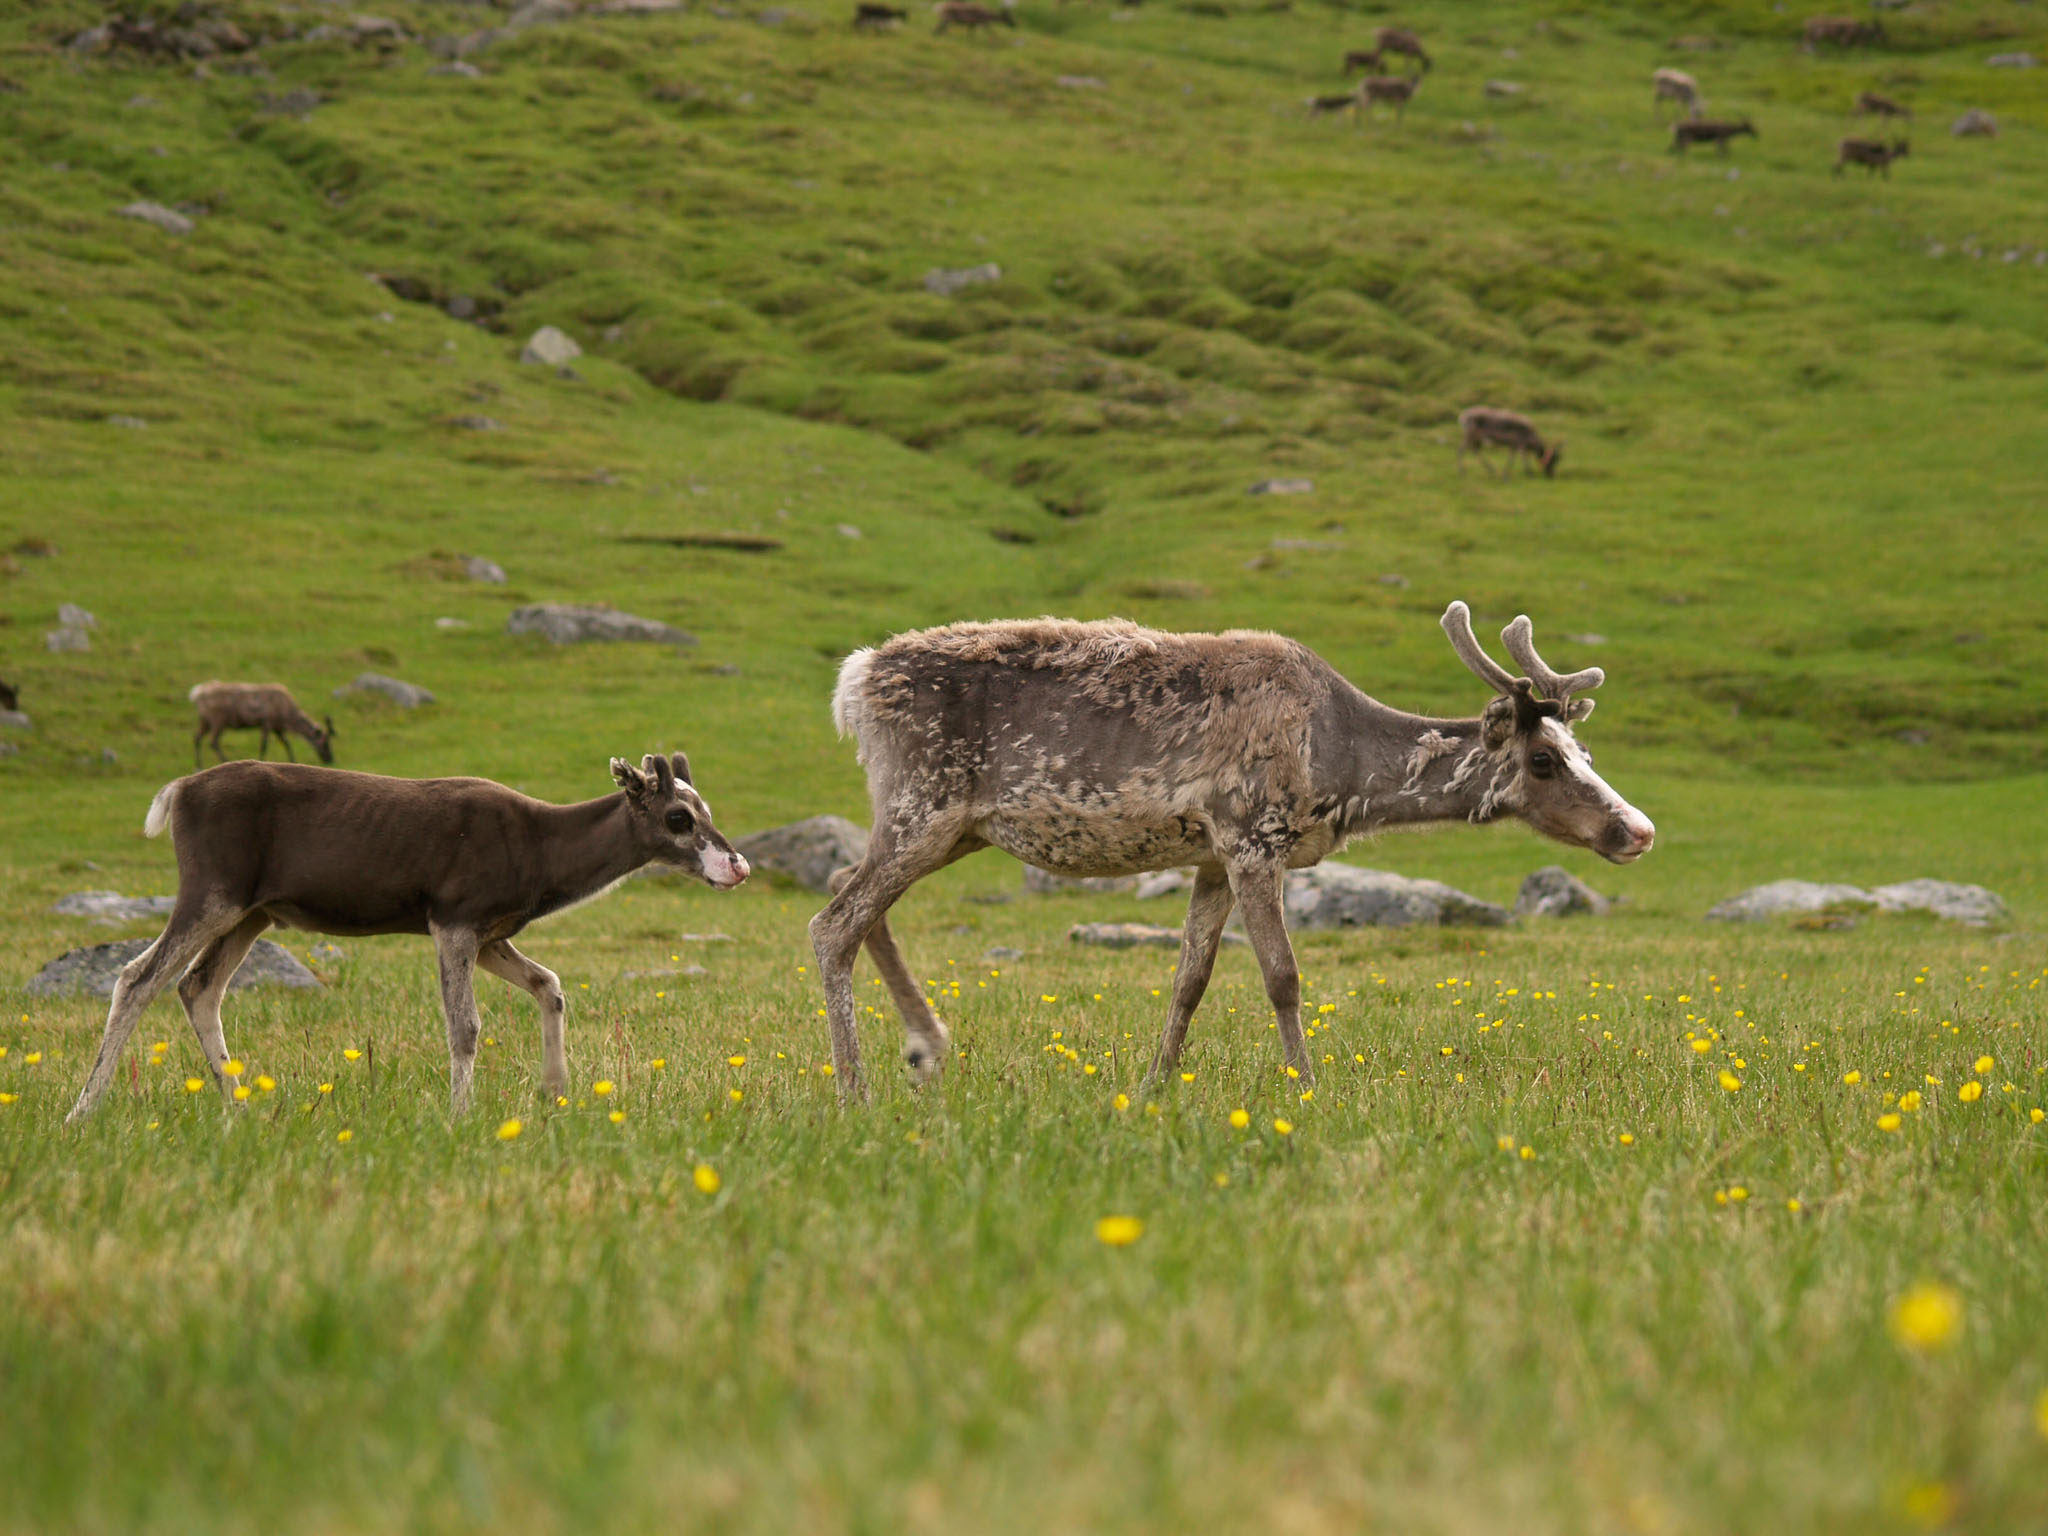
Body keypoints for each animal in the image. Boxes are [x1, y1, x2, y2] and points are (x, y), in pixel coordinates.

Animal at [61, 753, 753, 1122]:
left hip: (254, 911)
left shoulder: (491, 932)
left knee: (198, 986)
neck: (540, 856)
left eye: (707, 809)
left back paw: (240, 1106)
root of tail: (176, 792)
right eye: (678, 817)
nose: (738, 865)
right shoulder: (453, 917)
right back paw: (82, 1110)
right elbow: (465, 1026)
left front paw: (555, 1092)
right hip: (212, 889)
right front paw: (459, 1116)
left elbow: (551, 986)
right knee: (137, 977)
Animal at [193, 679, 337, 770]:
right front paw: (261, 760)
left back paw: (199, 765)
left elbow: (287, 744)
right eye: (325, 743)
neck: (287, 717)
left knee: (197, 738)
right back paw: (224, 760)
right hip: (217, 719)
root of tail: (196, 694)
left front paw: (293, 760)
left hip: (205, 720)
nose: (331, 760)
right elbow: (264, 745)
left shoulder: (277, 727)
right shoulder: (267, 722)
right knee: (213, 741)